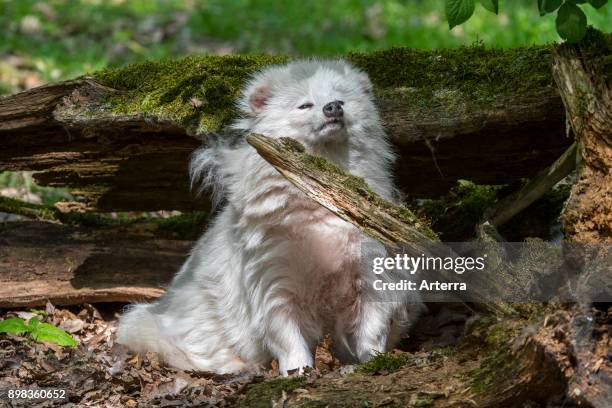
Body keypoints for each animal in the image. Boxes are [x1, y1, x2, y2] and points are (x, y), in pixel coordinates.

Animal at [117, 59, 424, 374]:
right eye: (305, 105)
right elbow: (286, 334)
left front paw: (373, 359)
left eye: (342, 99)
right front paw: (297, 371)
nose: (333, 107)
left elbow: (372, 325)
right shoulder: (274, 279)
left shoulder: (370, 270)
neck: (322, 190)